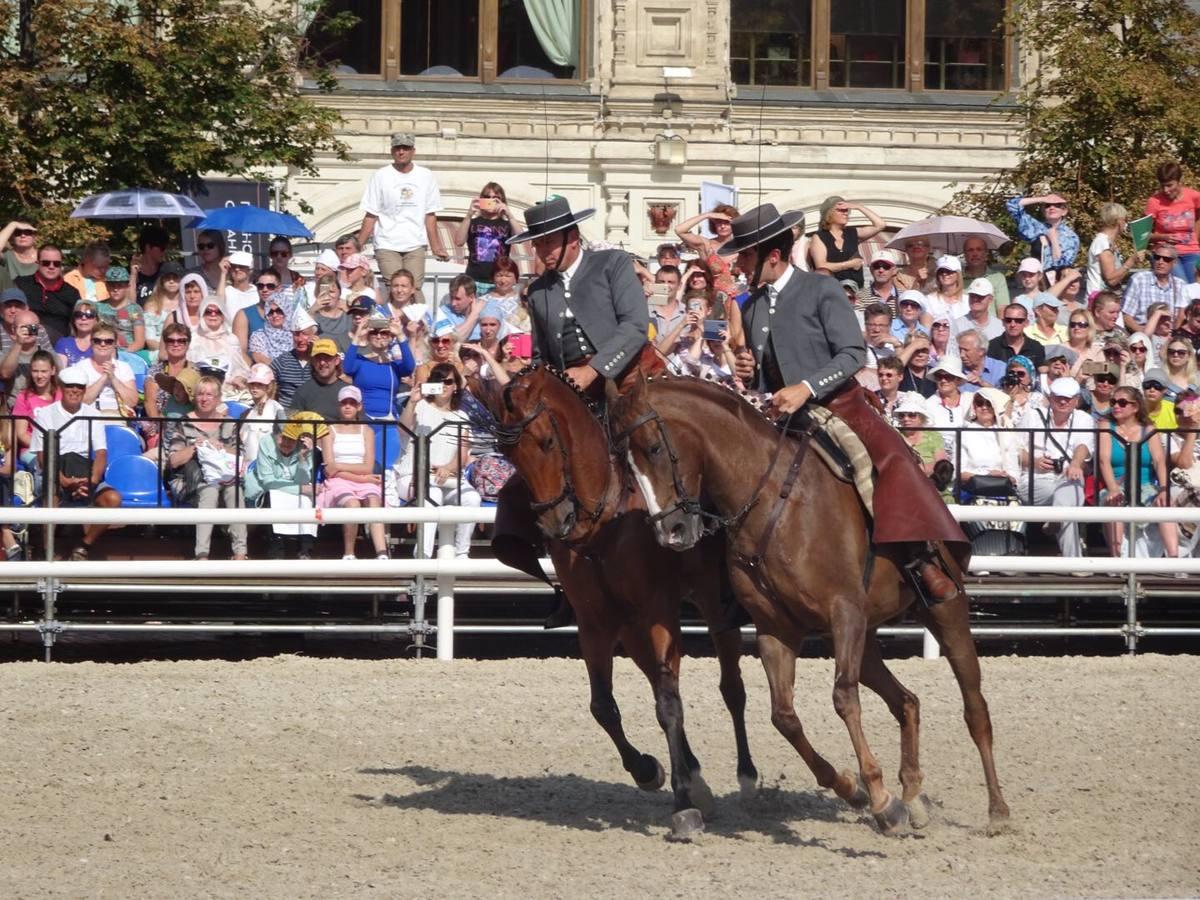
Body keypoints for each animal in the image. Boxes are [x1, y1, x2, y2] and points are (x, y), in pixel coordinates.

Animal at [468, 362, 758, 844]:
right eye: (509, 455)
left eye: (547, 442)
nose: (556, 522)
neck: (604, 518)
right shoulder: (595, 621)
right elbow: (604, 706)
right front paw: (649, 770)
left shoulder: (657, 611)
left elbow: (668, 703)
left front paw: (683, 805)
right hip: (630, 625)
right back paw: (696, 777)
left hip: (709, 603)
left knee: (731, 688)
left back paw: (746, 776)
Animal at [609, 369, 1012, 835]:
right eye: (624, 464)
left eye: (655, 448)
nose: (670, 532)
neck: (773, 501)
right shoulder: (777, 630)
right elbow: (784, 716)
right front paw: (852, 788)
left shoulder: (844, 613)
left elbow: (843, 699)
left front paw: (880, 799)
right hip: (865, 642)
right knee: (906, 701)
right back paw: (912, 795)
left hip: (944, 612)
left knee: (975, 709)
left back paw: (997, 810)